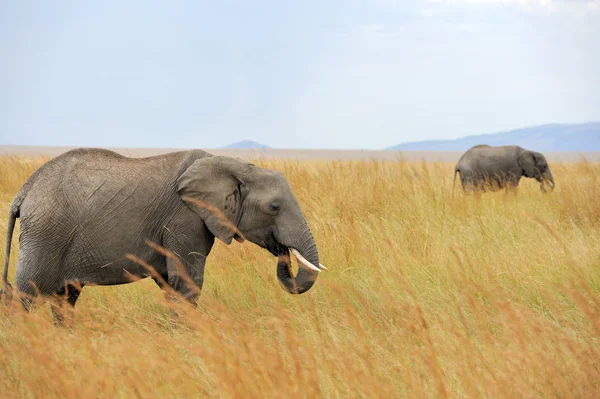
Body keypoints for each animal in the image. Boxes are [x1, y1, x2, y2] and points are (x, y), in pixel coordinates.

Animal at [1, 148, 328, 324]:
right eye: (274, 207)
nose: (283, 253)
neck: (233, 164)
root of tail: (24, 191)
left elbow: (171, 285)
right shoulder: (185, 218)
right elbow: (187, 282)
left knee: (64, 298)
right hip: (45, 233)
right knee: (28, 294)